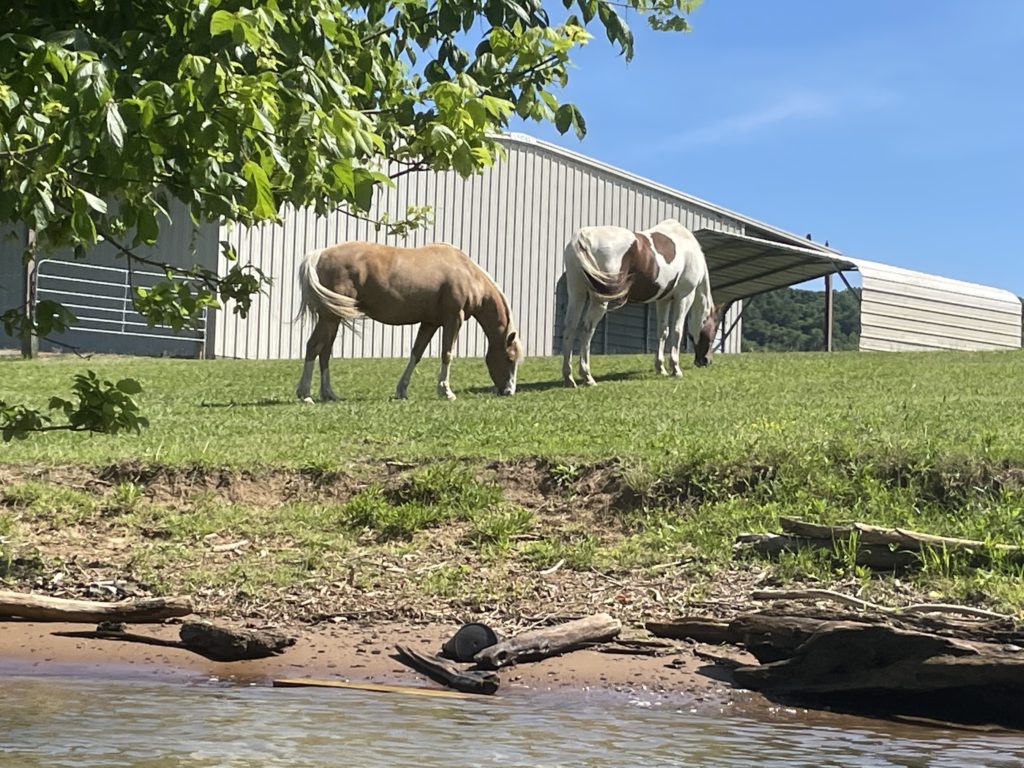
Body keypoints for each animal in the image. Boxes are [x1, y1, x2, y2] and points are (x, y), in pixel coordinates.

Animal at [294, 243, 520, 403]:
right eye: (510, 358)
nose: (509, 391)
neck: (467, 273)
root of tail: (319, 255)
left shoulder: (429, 323)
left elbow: (416, 354)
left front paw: (401, 390)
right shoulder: (453, 319)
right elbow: (447, 354)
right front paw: (446, 391)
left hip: (333, 318)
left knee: (324, 352)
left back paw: (328, 394)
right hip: (330, 318)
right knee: (313, 347)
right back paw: (305, 394)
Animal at [561, 218, 720, 387]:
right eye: (714, 330)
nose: (706, 361)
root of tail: (582, 237)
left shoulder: (663, 300)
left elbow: (663, 331)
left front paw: (661, 368)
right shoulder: (684, 296)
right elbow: (677, 331)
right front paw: (676, 369)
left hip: (577, 294)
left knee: (570, 327)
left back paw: (569, 378)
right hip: (599, 300)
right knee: (587, 330)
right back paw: (588, 377)